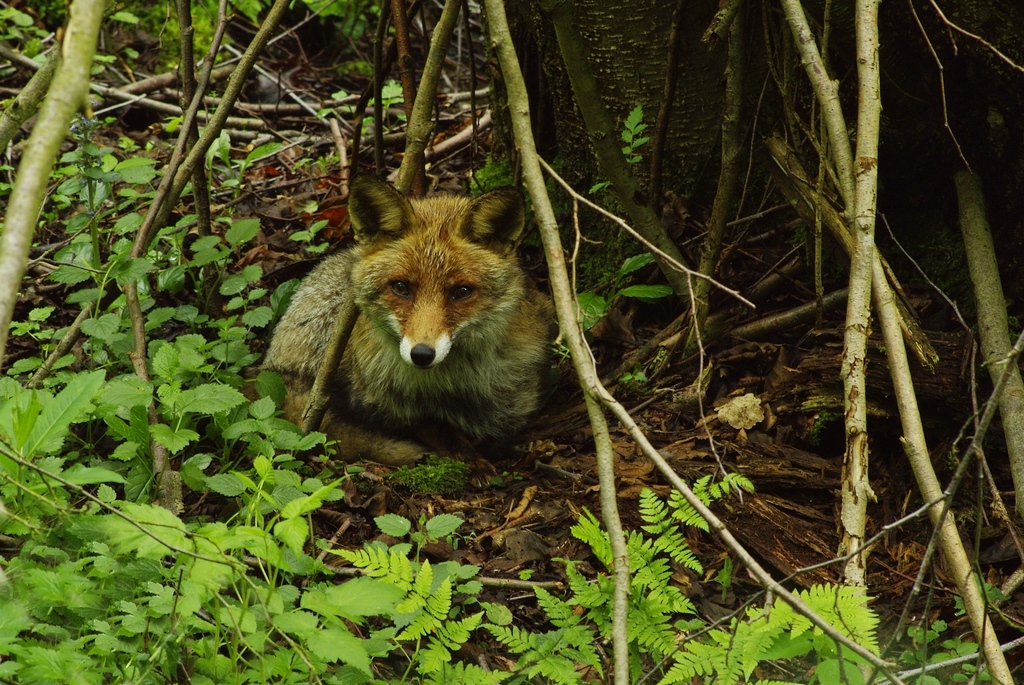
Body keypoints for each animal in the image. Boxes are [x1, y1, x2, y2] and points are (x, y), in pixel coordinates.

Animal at [260, 175, 557, 464]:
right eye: (401, 287)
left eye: (461, 292)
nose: (422, 354)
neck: (453, 388)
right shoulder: (380, 402)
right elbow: (434, 429)